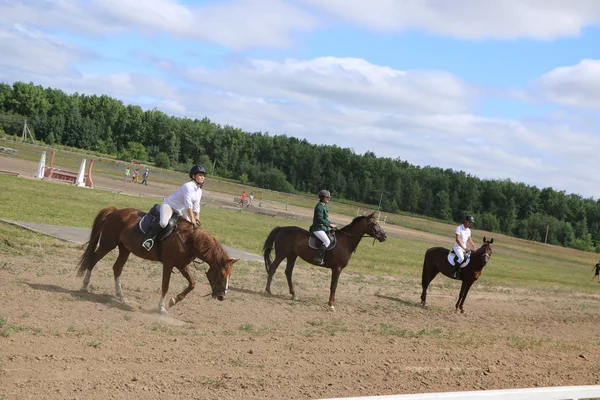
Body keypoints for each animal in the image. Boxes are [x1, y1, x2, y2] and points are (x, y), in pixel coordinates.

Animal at [77, 208, 239, 314]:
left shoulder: (182, 265)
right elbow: (165, 285)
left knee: (117, 268)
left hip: (124, 249)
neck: (190, 239)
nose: (222, 296)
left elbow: (192, 283)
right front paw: (161, 307)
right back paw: (85, 285)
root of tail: (115, 211)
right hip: (107, 244)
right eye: (222, 274)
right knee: (93, 259)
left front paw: (173, 301)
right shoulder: (168, 264)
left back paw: (121, 296)